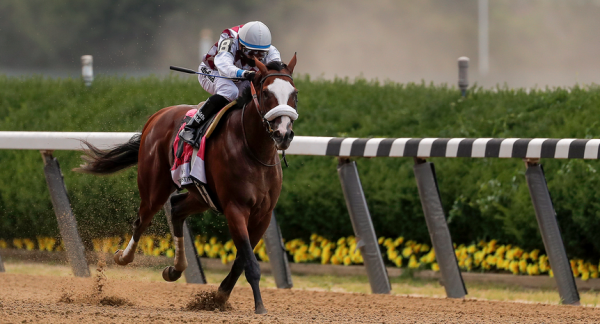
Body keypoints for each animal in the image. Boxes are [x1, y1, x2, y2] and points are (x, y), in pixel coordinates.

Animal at [74, 55, 298, 314]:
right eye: (266, 93)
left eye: (294, 93)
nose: (283, 134)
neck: (253, 150)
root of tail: (158, 116)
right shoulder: (235, 208)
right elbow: (249, 262)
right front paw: (259, 306)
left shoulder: (263, 214)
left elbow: (242, 259)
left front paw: (219, 297)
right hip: (155, 187)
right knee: (142, 219)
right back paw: (123, 257)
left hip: (202, 196)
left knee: (177, 207)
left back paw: (175, 269)